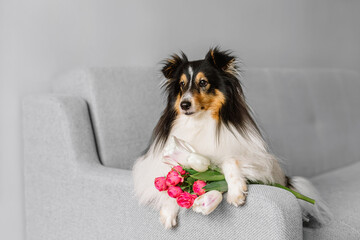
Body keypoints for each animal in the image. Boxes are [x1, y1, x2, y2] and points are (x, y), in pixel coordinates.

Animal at [133, 47, 332, 229]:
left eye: (203, 82)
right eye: (181, 85)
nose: (184, 105)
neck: (200, 122)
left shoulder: (258, 161)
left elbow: (229, 160)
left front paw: (236, 192)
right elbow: (169, 182)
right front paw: (168, 211)